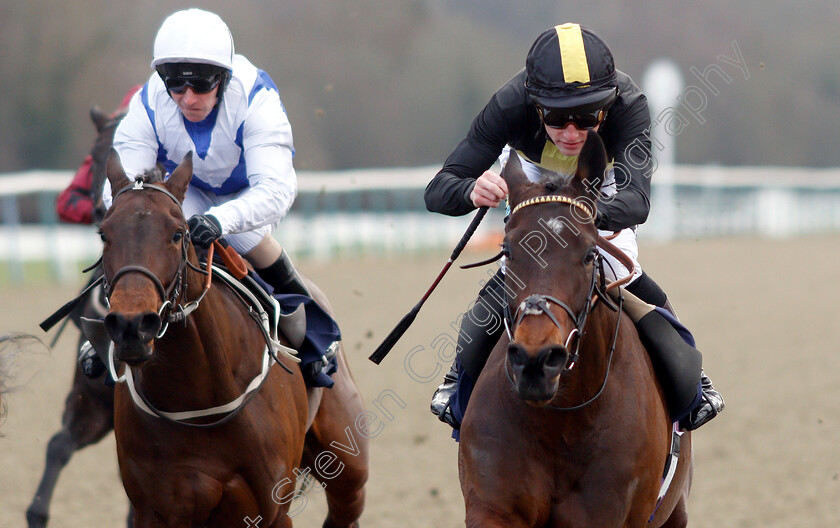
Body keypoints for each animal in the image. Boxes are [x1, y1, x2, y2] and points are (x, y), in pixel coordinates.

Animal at [97, 151, 366, 524]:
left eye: (178, 233)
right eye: (103, 234)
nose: (131, 325)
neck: (199, 403)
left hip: (349, 464)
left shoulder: (272, 510)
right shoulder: (156, 509)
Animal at [456, 130, 692, 524]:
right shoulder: (492, 506)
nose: (536, 359)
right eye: (507, 251)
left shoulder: (605, 512)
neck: (562, 418)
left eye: (588, 253)